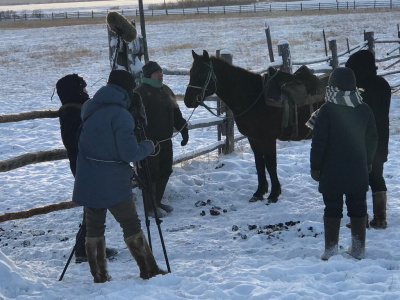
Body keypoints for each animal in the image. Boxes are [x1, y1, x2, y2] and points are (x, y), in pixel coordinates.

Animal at [183, 50, 326, 203]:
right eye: (191, 72)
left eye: (202, 74)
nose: (187, 100)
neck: (253, 97)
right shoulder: (254, 139)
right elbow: (259, 164)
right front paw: (259, 192)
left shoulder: (268, 139)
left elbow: (270, 164)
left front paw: (274, 194)